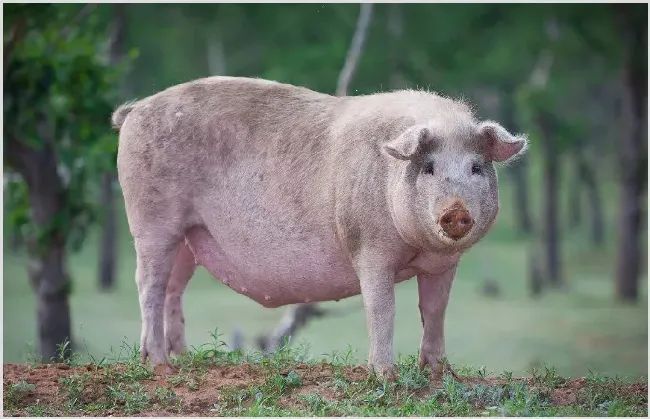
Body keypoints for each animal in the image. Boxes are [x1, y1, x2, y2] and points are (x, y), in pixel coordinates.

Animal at [111, 76, 528, 384]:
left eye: (476, 167)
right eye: (428, 168)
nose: (455, 213)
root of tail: (136, 110)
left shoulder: (444, 264)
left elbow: (435, 309)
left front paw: (441, 375)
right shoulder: (369, 248)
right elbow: (382, 307)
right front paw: (387, 377)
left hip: (189, 235)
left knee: (173, 288)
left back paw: (187, 359)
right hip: (152, 219)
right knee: (148, 284)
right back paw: (160, 367)